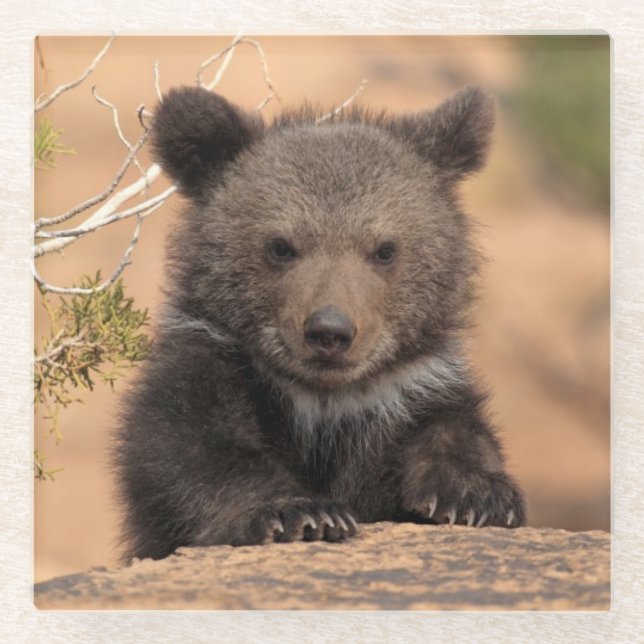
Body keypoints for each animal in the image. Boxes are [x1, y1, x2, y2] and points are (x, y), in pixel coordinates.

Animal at [114, 85, 526, 562]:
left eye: (385, 249)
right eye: (281, 246)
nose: (330, 331)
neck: (325, 405)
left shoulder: (411, 391)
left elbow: (455, 429)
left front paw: (476, 494)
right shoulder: (214, 366)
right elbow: (191, 447)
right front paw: (299, 512)